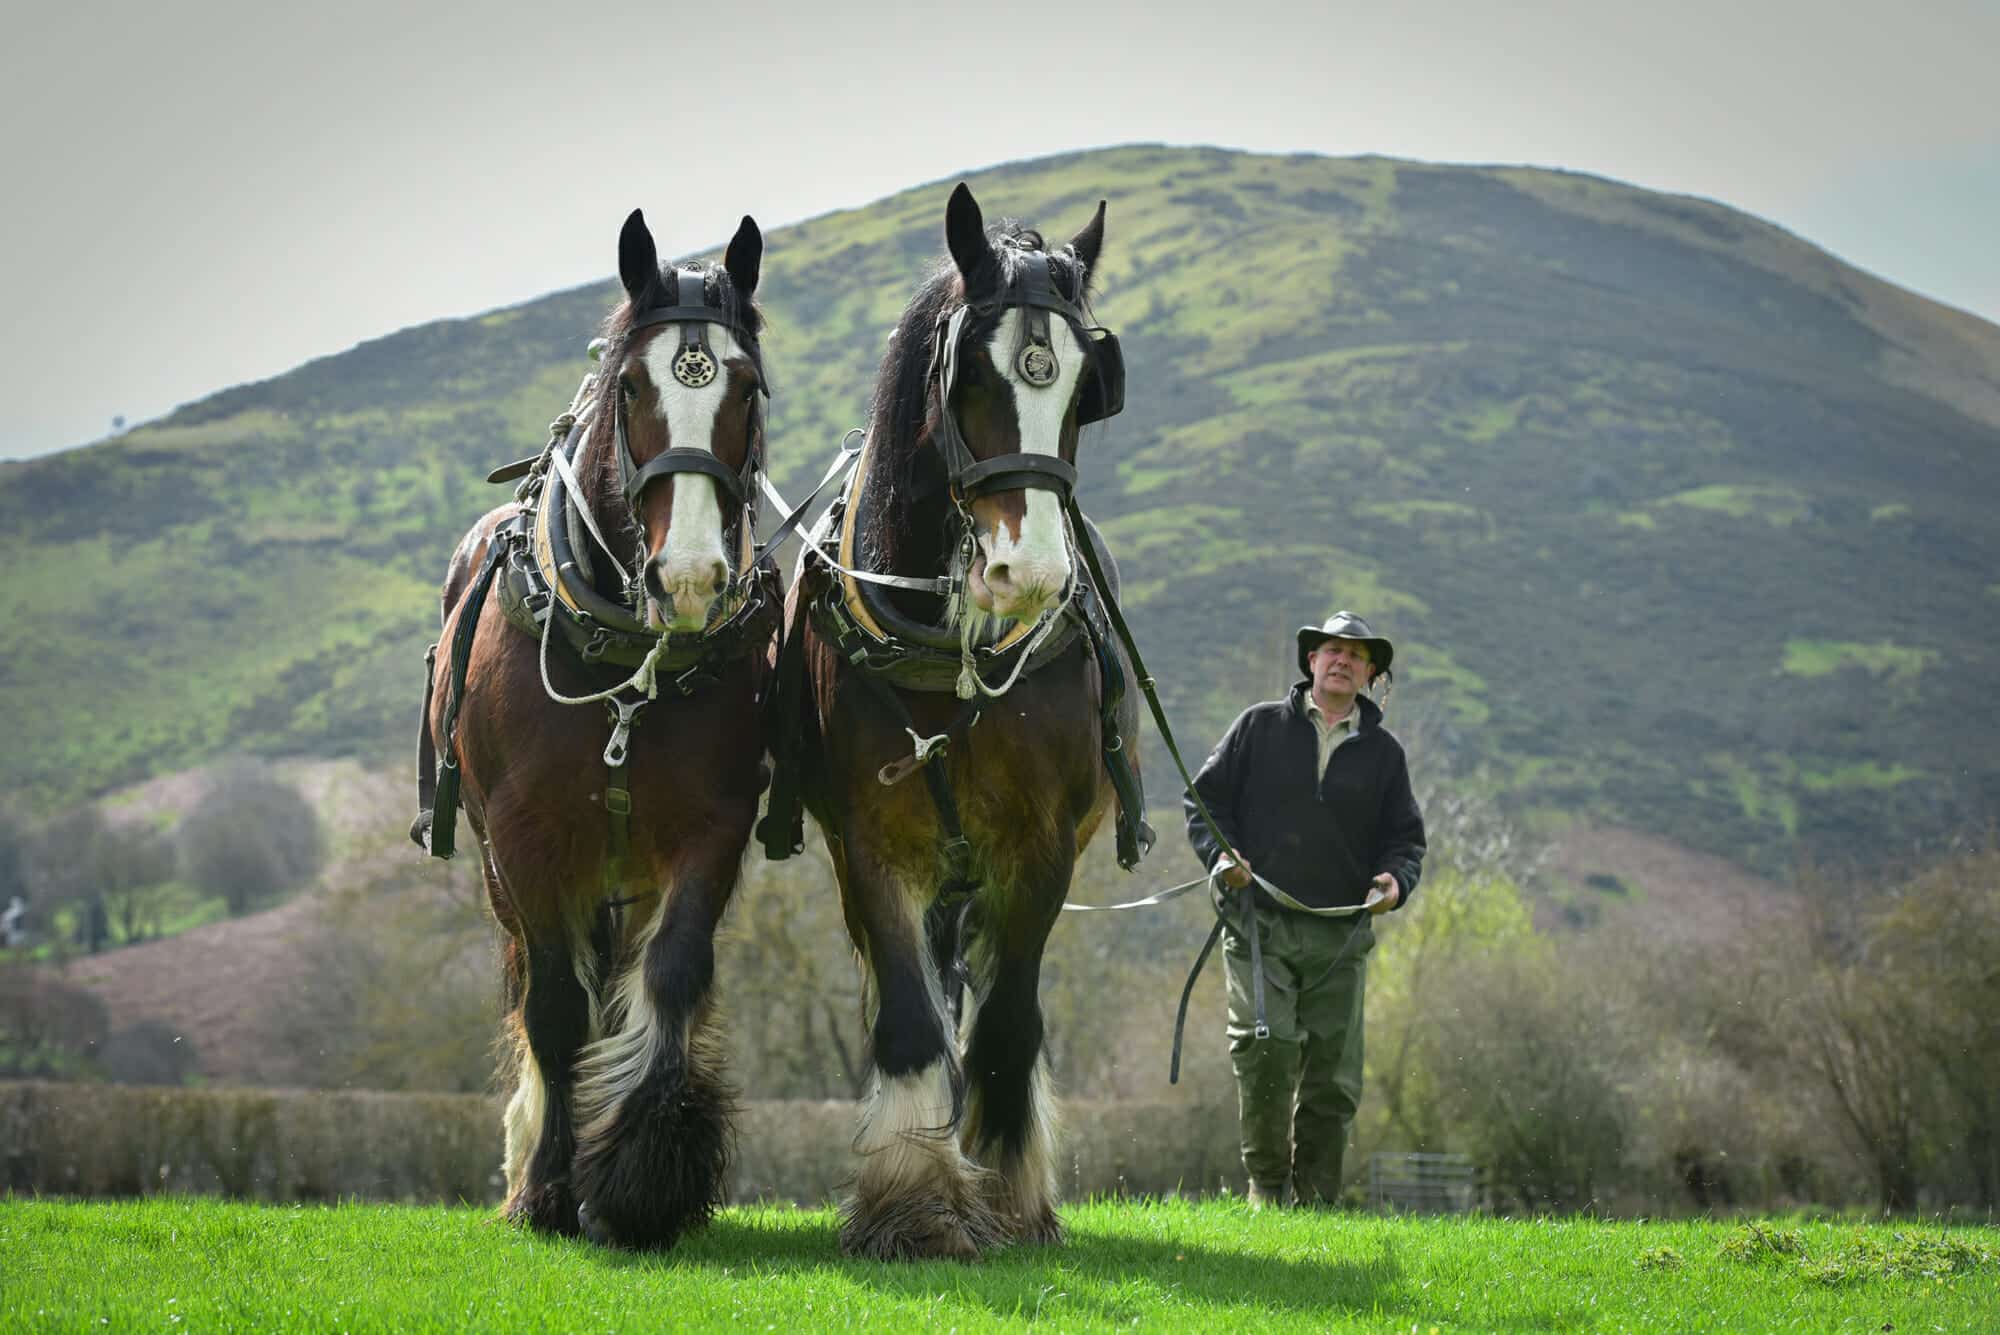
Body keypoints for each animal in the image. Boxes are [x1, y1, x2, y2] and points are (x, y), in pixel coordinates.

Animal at [414, 208, 772, 1255]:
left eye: (746, 386)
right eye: (631, 386)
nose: (688, 578)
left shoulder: (711, 829)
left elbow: (672, 973)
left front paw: (642, 1176)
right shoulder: (527, 840)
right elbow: (555, 1009)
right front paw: (547, 1185)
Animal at [760, 182, 1152, 1255]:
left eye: (1084, 389)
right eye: (970, 372)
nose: (1033, 575)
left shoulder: (1042, 844)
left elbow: (1008, 1023)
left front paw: (1011, 1192)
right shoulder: (868, 842)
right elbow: (908, 1018)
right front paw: (917, 1199)